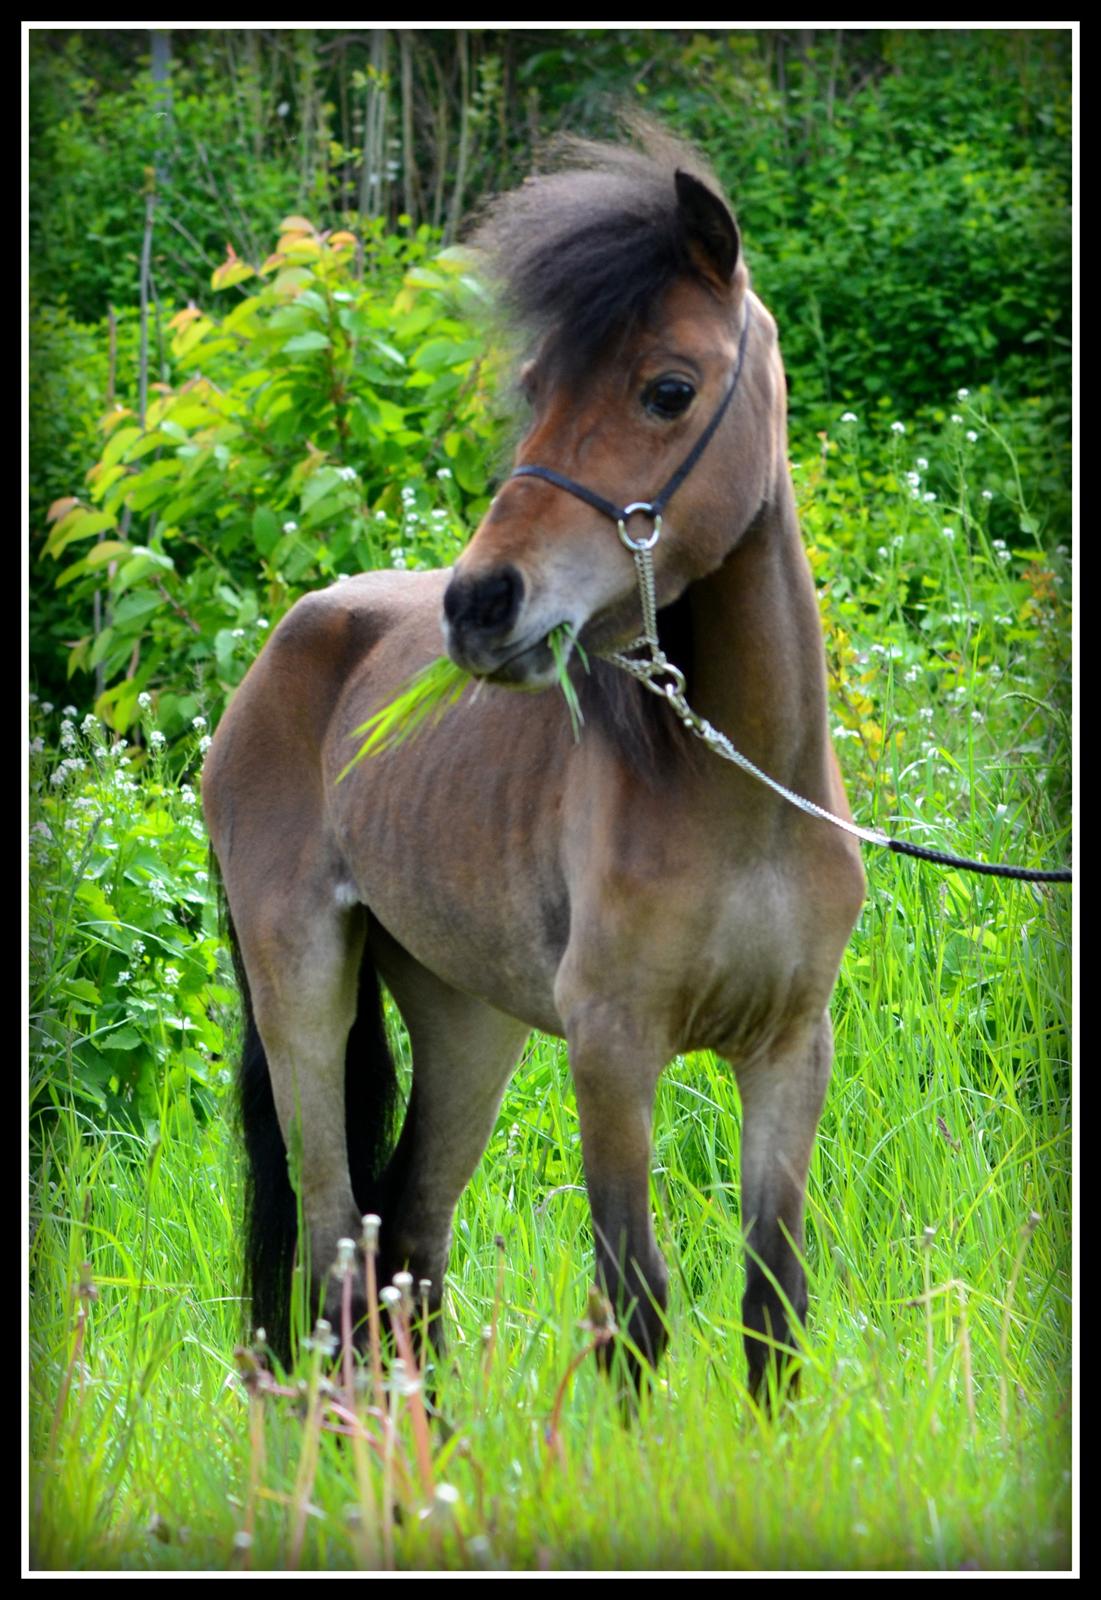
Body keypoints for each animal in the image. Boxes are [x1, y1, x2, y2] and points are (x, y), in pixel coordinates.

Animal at [202, 131, 864, 1395]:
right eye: (540, 392)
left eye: (669, 388)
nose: (477, 604)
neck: (737, 793)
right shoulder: (612, 1048)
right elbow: (635, 1306)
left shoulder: (788, 1051)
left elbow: (774, 1308)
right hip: (302, 991)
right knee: (338, 1262)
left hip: (466, 1022)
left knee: (409, 1249)